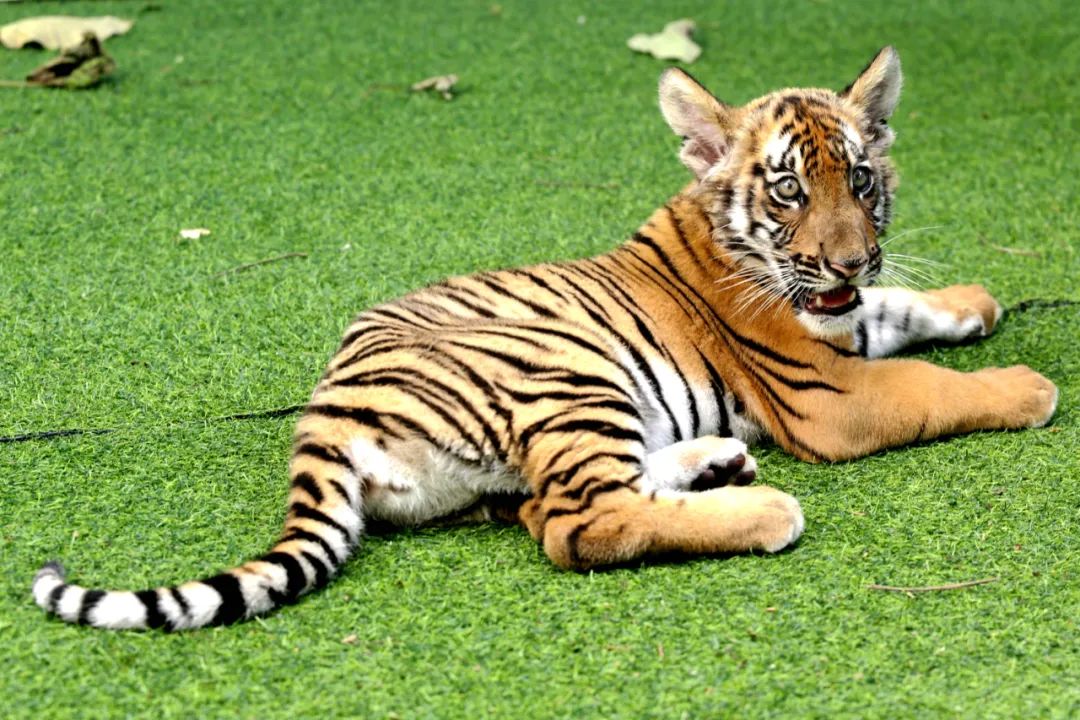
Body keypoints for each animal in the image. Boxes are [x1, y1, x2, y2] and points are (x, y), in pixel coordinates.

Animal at [33, 47, 1058, 630]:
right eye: (789, 191)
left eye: (861, 179)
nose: (850, 258)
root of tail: (322, 413)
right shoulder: (826, 396)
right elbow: (931, 385)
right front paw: (1029, 386)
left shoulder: (840, 321)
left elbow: (904, 310)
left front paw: (973, 299)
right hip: (569, 373)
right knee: (578, 524)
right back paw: (762, 510)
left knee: (550, 505)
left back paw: (717, 462)